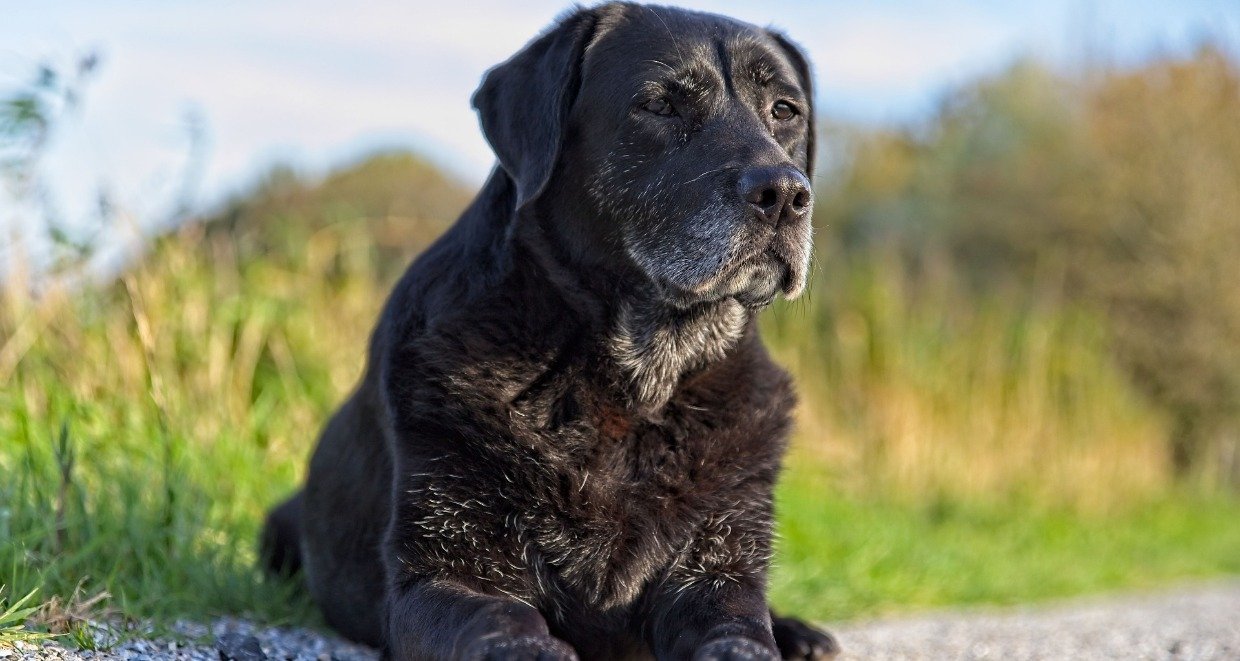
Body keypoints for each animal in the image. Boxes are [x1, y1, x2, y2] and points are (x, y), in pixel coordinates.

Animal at [265, 2, 838, 654]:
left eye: (785, 111)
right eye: (660, 105)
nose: (785, 192)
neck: (636, 381)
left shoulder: (718, 568)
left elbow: (740, 630)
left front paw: (770, 636)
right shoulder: (439, 575)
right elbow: (500, 619)